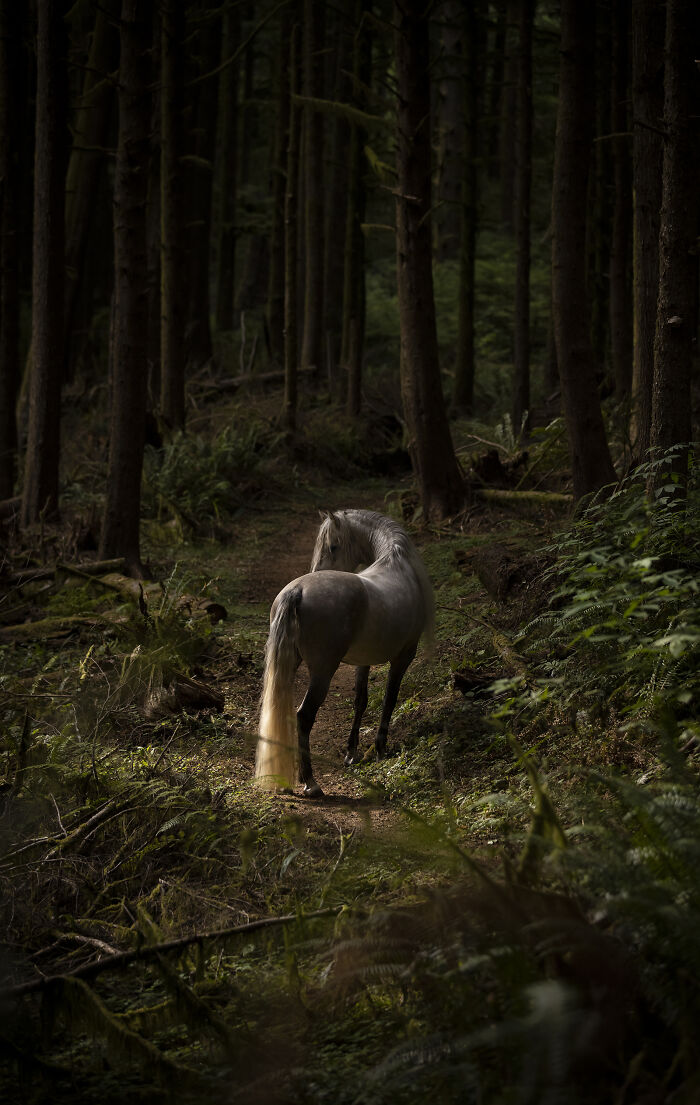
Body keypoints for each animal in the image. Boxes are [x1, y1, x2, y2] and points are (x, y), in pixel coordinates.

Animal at [254, 508, 433, 795]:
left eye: (333, 546)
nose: (316, 569)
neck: (397, 561)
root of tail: (298, 591)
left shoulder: (364, 661)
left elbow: (361, 699)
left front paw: (351, 752)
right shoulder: (403, 657)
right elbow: (389, 699)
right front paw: (380, 749)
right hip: (322, 673)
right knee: (304, 716)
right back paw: (311, 783)